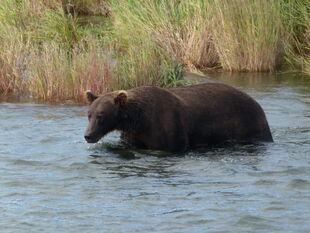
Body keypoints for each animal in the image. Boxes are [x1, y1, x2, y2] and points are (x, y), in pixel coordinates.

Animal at [83, 83, 272, 152]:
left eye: (101, 115)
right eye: (89, 115)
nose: (88, 135)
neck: (139, 120)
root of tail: (256, 102)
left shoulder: (165, 126)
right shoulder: (133, 135)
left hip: (248, 124)